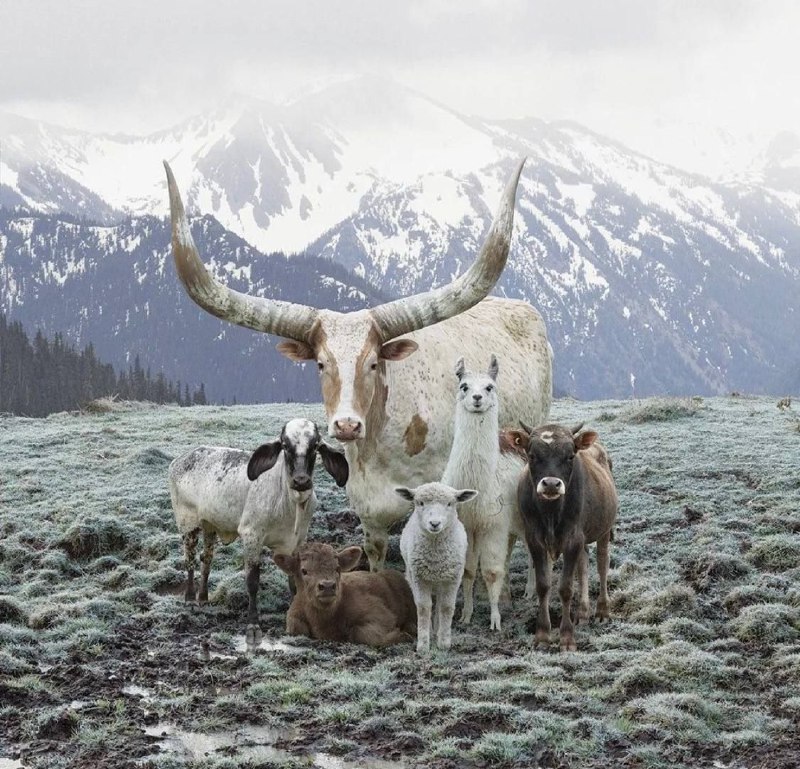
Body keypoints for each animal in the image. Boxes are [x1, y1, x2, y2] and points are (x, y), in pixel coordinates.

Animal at [162, 160, 552, 568]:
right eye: (320, 363)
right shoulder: (369, 512)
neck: (383, 446)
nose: (347, 425)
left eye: (374, 364)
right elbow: (376, 555)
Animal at [272, 544, 416, 644]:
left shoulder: (383, 615)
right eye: (304, 571)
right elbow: (295, 627)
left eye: (337, 568)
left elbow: (364, 634)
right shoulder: (293, 617)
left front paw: (402, 635)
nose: (328, 586)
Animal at [394, 484, 476, 652]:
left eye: (450, 503)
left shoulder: (453, 579)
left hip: (441, 582)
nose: (434, 523)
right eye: (420, 503)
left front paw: (444, 642)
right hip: (413, 576)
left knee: (439, 605)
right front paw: (423, 644)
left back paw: (438, 630)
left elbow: (446, 607)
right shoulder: (419, 578)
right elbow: (424, 607)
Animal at [440, 354, 510, 632]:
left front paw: (495, 620)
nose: (477, 398)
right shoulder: (469, 526)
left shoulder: (494, 526)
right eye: (464, 386)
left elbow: (491, 572)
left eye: (489, 387)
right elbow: (468, 571)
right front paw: (466, 615)